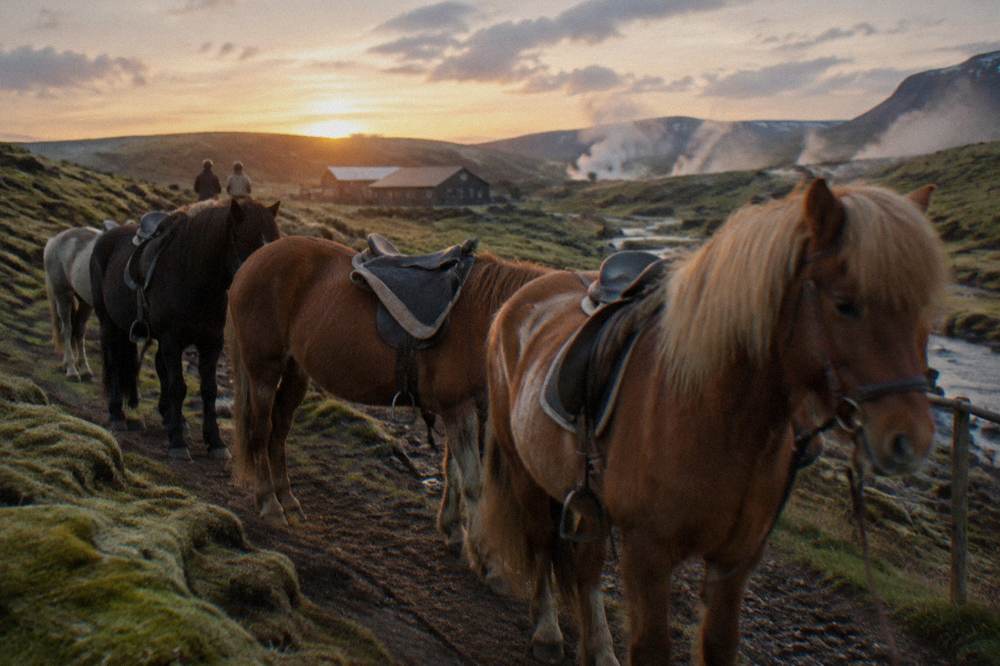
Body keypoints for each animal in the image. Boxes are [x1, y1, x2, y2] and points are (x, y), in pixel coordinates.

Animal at [90, 198, 280, 460]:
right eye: (244, 240)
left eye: (275, 241)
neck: (193, 277)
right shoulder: (172, 340)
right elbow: (178, 387)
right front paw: (178, 443)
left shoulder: (211, 343)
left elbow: (209, 390)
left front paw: (215, 442)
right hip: (110, 324)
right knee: (114, 361)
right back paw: (117, 413)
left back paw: (171, 418)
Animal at [226, 235, 548, 547]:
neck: (485, 321)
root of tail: (253, 260)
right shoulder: (458, 408)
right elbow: (472, 482)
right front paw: (481, 550)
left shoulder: (473, 409)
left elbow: (454, 472)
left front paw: (454, 530)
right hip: (263, 369)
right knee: (260, 431)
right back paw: (270, 503)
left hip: (295, 371)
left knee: (279, 431)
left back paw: (288, 500)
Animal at [472, 180, 947, 665]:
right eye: (845, 305)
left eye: (924, 315)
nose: (911, 441)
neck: (719, 420)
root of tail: (522, 298)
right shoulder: (647, 556)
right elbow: (651, 648)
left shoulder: (734, 563)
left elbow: (719, 644)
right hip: (525, 471)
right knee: (541, 543)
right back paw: (547, 630)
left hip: (584, 499)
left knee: (585, 572)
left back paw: (600, 651)